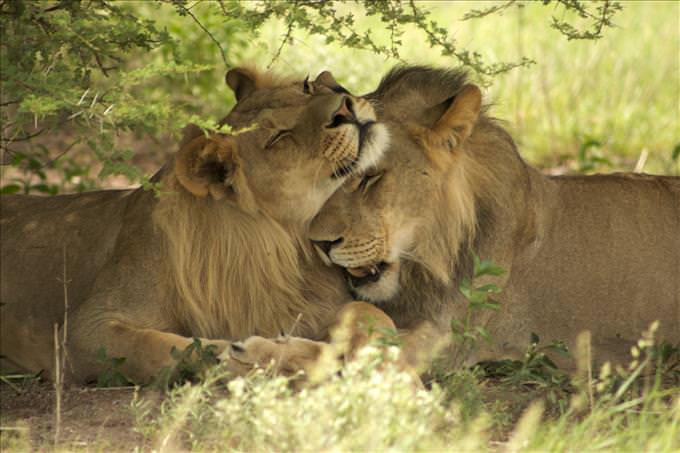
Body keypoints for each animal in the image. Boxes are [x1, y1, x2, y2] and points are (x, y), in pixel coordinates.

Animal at [0, 67, 390, 384]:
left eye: (307, 88)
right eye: (277, 138)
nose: (344, 108)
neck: (287, 245)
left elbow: (372, 314)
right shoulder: (83, 332)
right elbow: (168, 348)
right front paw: (270, 357)